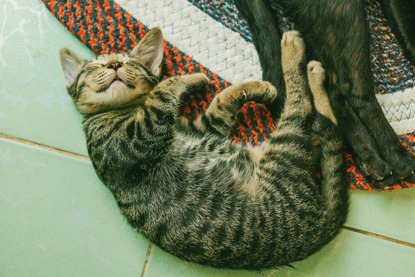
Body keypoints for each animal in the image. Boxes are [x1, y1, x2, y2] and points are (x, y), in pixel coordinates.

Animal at [60, 29, 350, 268]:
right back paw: (293, 52)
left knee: (325, 127)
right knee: (302, 109)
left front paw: (249, 87)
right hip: (284, 152)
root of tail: (319, 228)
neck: (128, 108)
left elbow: (220, 102)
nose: (114, 64)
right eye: (95, 66)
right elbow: (164, 87)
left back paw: (313, 73)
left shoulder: (203, 127)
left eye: (131, 63)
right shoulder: (133, 140)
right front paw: (189, 78)